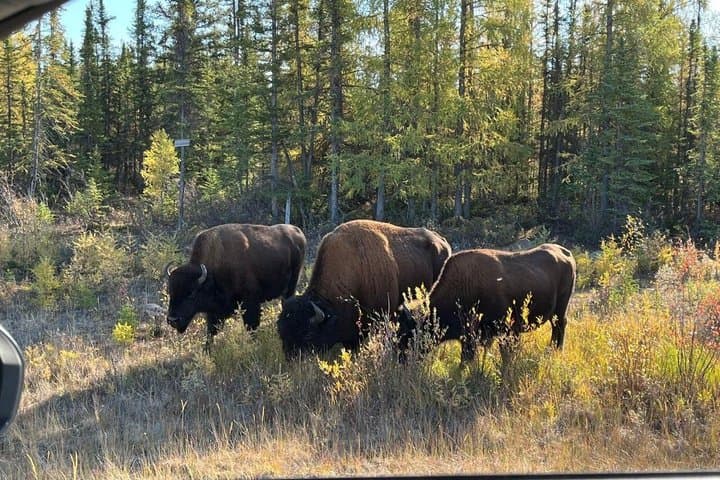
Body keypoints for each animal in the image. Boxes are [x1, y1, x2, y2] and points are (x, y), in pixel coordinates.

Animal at [165, 223, 306, 347]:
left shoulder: (250, 302)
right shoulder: (215, 311)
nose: (172, 320)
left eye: (191, 293)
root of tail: (298, 232)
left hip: (292, 284)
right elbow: (211, 331)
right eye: (170, 291)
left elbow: (251, 326)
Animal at [398, 243, 576, 361]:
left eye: (407, 333)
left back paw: (555, 350)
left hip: (560, 309)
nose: (399, 358)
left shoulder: (503, 330)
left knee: (560, 326)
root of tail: (566, 253)